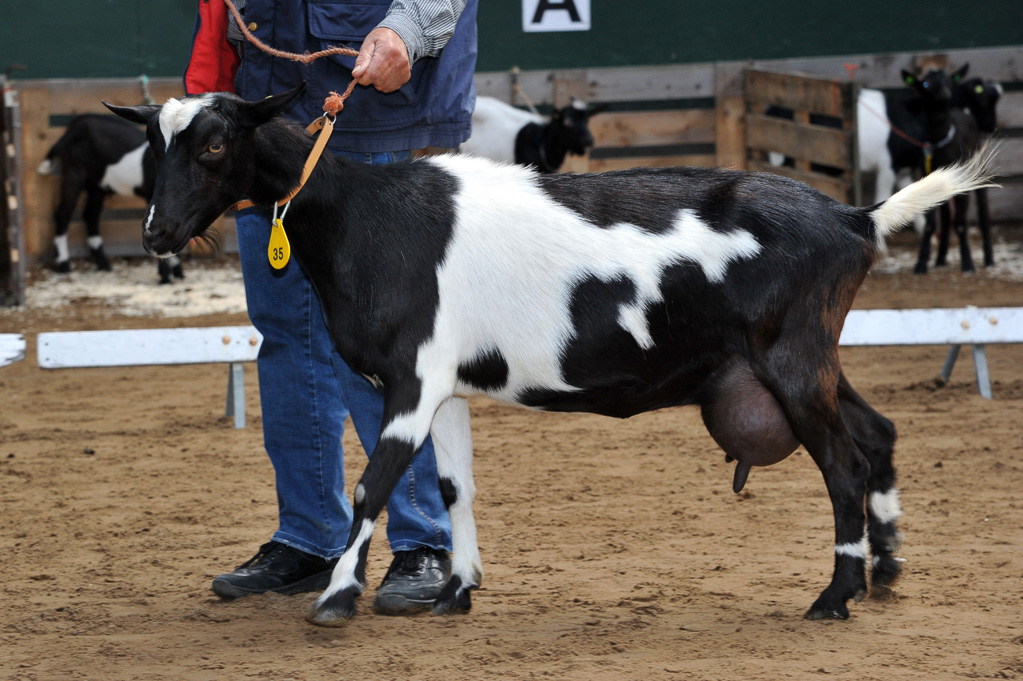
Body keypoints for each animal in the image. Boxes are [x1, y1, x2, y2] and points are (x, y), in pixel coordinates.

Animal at [37, 113, 185, 280]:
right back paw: (64, 265)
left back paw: (103, 264)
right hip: (74, 172)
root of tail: (73, 128)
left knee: (90, 214)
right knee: (63, 214)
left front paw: (177, 272)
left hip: (97, 185)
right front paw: (165, 277)